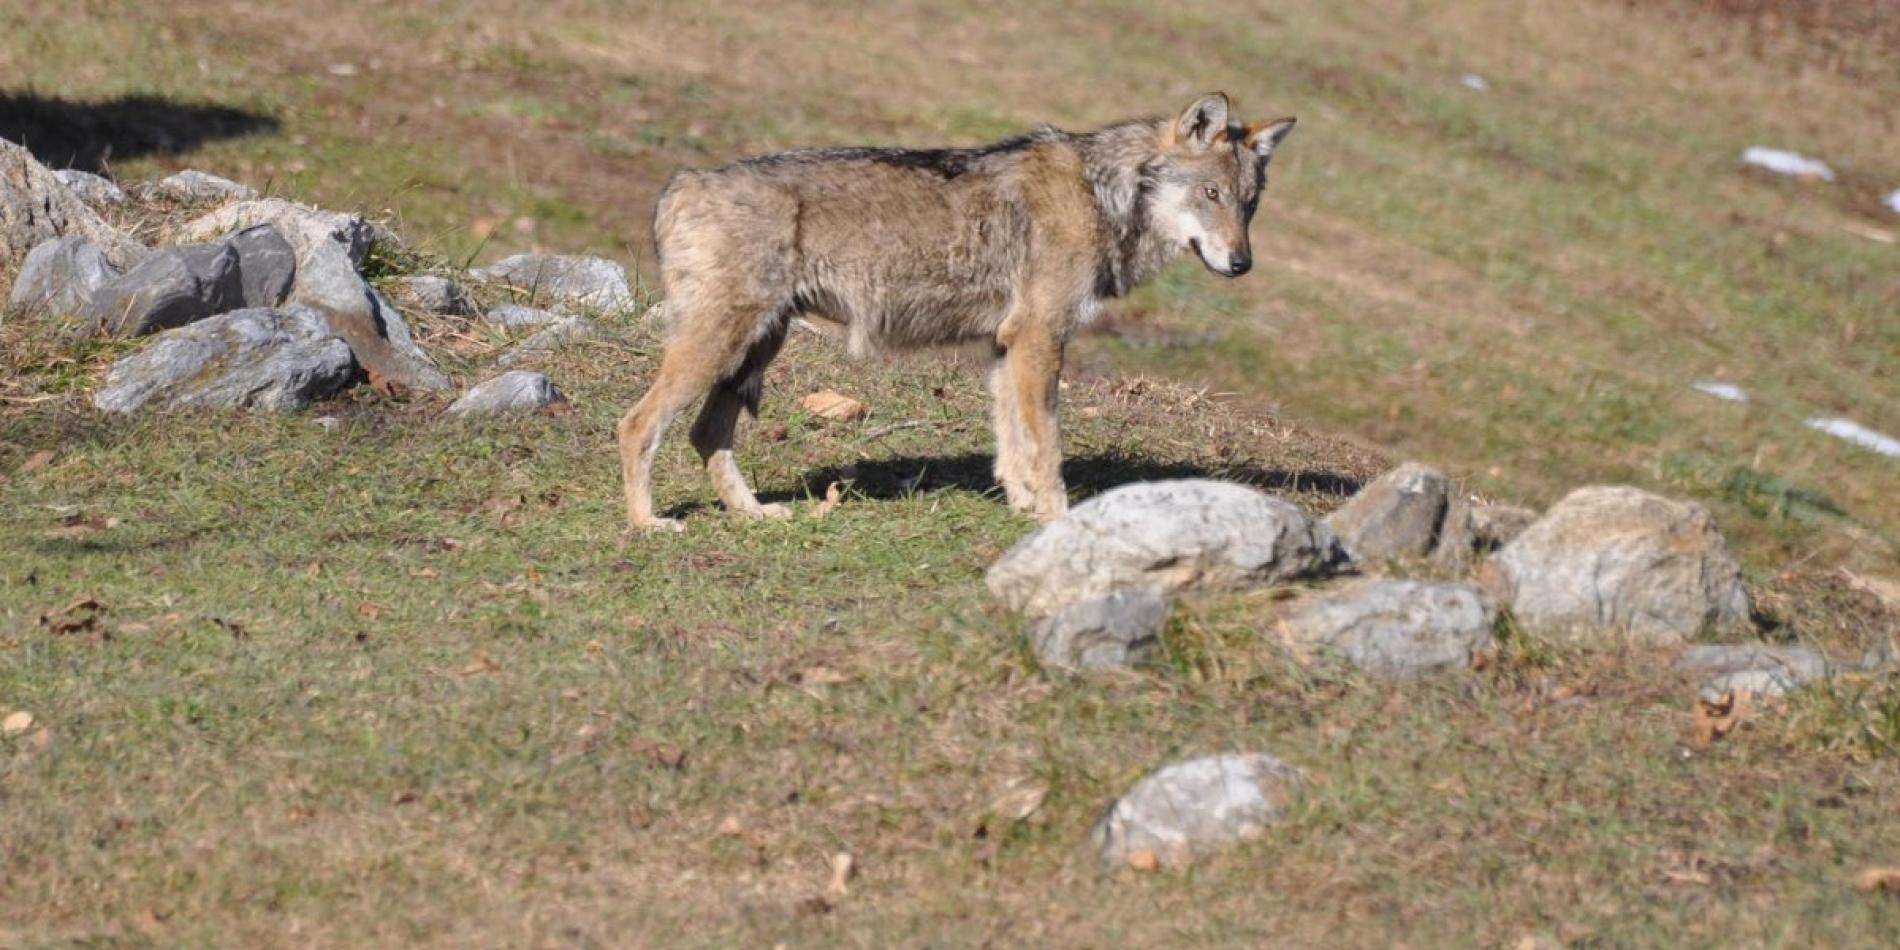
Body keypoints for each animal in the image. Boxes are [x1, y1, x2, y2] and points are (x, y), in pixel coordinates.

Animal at [619, 92, 1292, 532]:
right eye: (1210, 195)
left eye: (1249, 204)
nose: (1242, 263)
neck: (1102, 196)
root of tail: (683, 181)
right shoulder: (1040, 339)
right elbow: (1048, 447)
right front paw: (1059, 520)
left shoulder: (1007, 346)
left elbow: (1012, 445)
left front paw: (1023, 508)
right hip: (724, 347)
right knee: (635, 423)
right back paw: (647, 523)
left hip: (755, 350)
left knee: (706, 435)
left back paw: (755, 513)